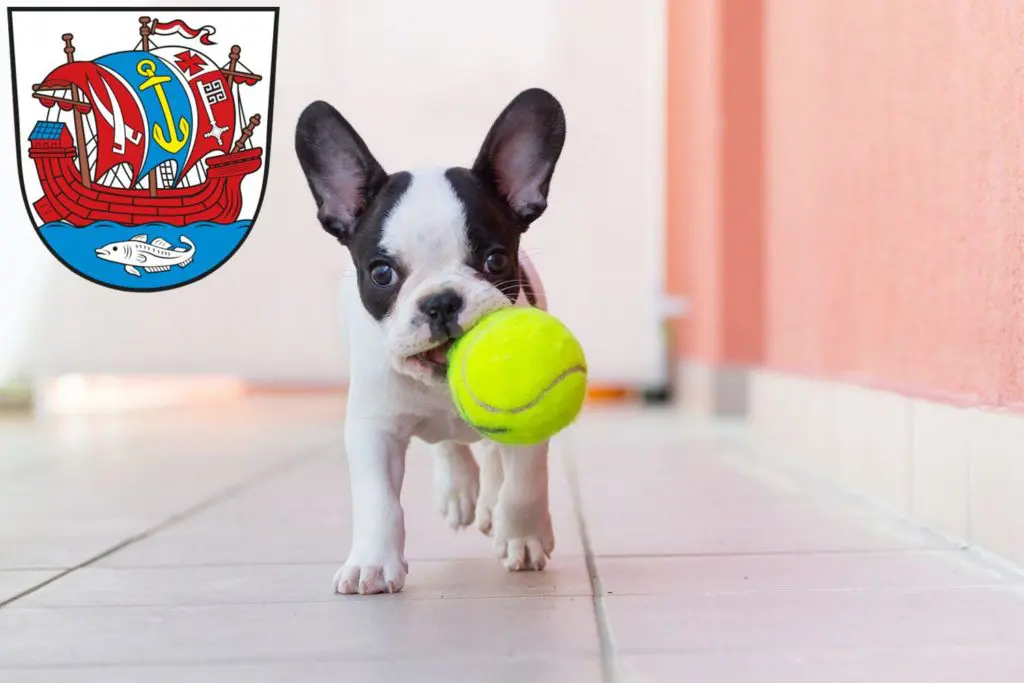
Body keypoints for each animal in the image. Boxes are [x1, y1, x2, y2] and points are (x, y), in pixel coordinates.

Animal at [296, 89, 569, 593]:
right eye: (381, 273)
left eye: (495, 260)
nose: (441, 302)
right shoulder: (374, 429)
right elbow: (379, 501)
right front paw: (372, 562)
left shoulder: (529, 421)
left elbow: (524, 481)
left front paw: (521, 535)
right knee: (449, 445)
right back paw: (459, 488)